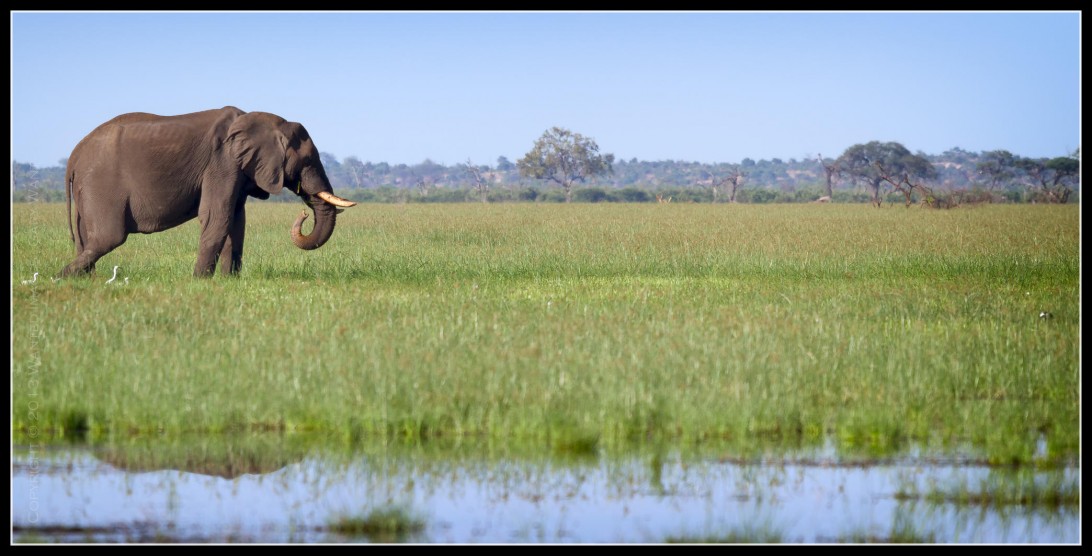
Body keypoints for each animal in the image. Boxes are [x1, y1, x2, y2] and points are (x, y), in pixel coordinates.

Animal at [59, 104, 355, 277]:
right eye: (307, 161)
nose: (302, 215)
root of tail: (74, 155)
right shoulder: (222, 162)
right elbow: (217, 217)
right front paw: (200, 281)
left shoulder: (238, 170)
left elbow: (236, 221)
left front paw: (228, 281)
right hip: (100, 183)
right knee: (108, 238)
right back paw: (60, 277)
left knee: (87, 240)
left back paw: (83, 281)